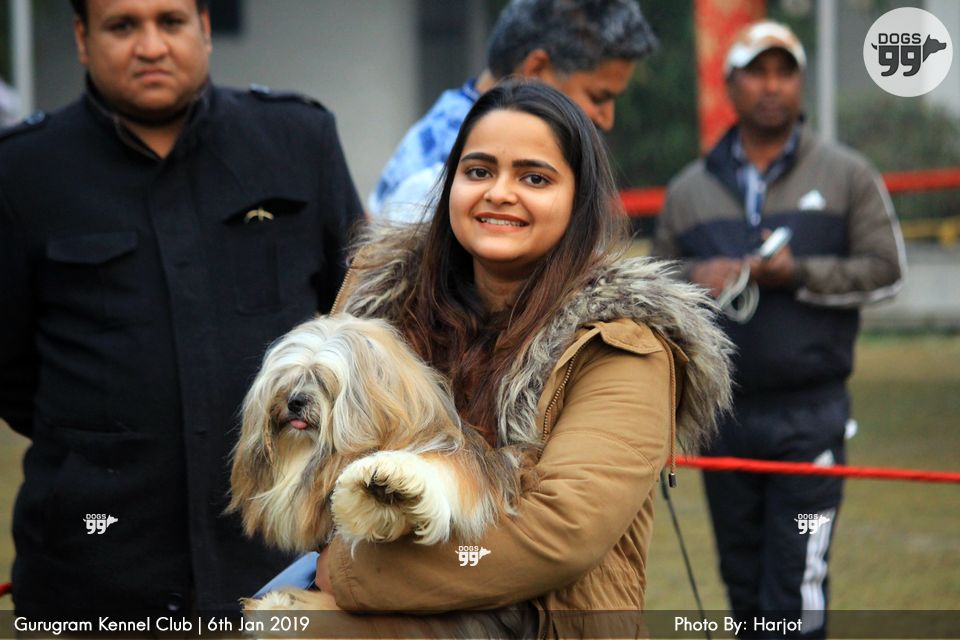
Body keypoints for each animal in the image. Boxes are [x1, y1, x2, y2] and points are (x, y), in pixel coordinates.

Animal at [228, 314, 526, 613]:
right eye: (289, 381)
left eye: (322, 381)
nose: (295, 401)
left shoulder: (471, 464)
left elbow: (445, 467)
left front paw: (392, 475)